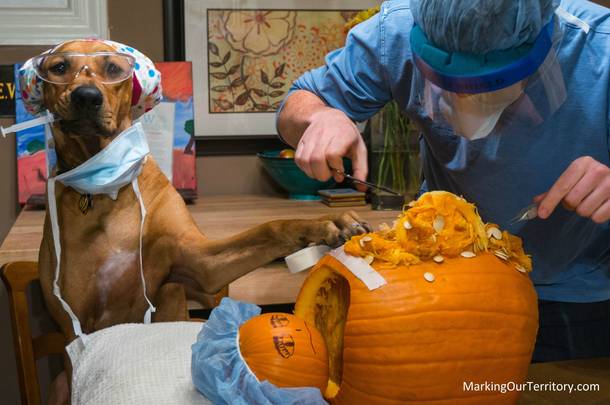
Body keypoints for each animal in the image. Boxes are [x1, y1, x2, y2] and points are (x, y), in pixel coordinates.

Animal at [28, 40, 368, 400]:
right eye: (59, 67)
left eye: (113, 69)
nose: (87, 96)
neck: (107, 190)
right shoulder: (77, 326)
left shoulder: (201, 266)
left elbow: (271, 228)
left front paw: (329, 224)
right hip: (61, 383)